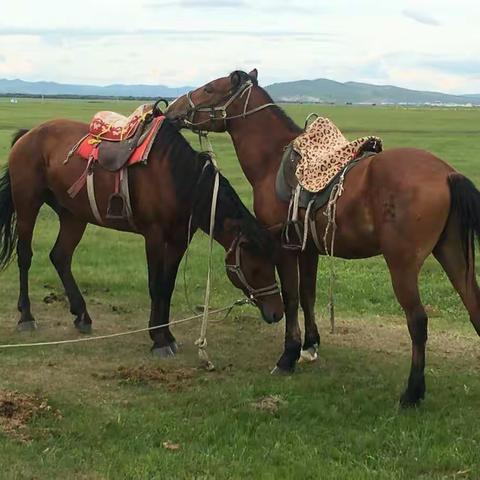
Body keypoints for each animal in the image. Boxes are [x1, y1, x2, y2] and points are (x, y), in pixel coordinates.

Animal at [0, 115, 284, 356]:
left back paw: (82, 315)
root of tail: (29, 134)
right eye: (256, 266)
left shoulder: (179, 240)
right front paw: (158, 340)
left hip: (73, 215)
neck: (177, 179)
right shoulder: (154, 236)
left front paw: (167, 335)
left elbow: (167, 286)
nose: (276, 313)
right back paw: (26, 316)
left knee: (60, 256)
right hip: (27, 204)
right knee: (25, 256)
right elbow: (155, 285)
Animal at [167, 67, 480, 404]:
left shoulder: (284, 247)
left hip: (403, 265)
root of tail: (447, 173)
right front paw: (310, 346)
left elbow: (291, 297)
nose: (171, 109)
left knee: (418, 321)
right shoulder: (309, 249)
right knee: (474, 306)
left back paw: (412, 392)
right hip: (452, 254)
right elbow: (308, 295)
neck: (272, 160)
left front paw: (289, 355)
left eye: (210, 89)